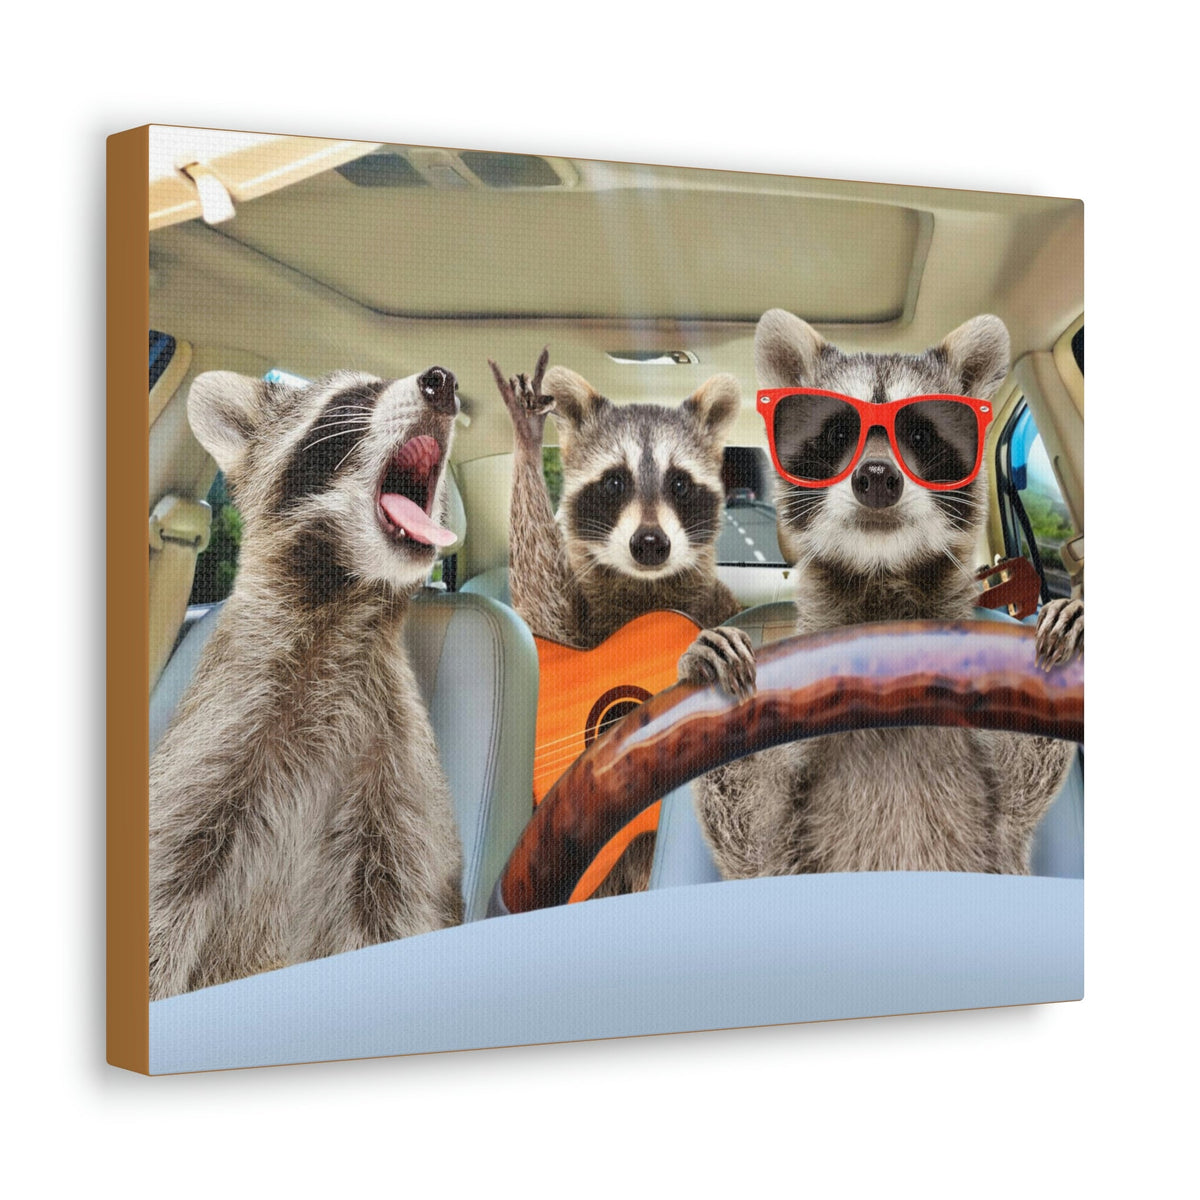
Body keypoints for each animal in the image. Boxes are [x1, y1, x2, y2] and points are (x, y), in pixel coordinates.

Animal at [149, 366, 464, 999]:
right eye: (354, 397)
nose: (442, 381)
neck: (345, 597)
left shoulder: (397, 782)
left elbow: (399, 905)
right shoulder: (220, 728)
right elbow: (162, 888)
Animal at [490, 349, 743, 894]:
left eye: (678, 482)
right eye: (614, 481)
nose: (650, 543)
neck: (645, 587)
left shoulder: (722, 606)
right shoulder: (568, 614)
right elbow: (542, 606)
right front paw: (527, 438)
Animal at [679, 310, 1083, 878]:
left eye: (920, 431)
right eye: (837, 431)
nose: (875, 477)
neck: (882, 579)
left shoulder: (1001, 824)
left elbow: (1020, 785)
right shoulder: (781, 843)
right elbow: (753, 836)